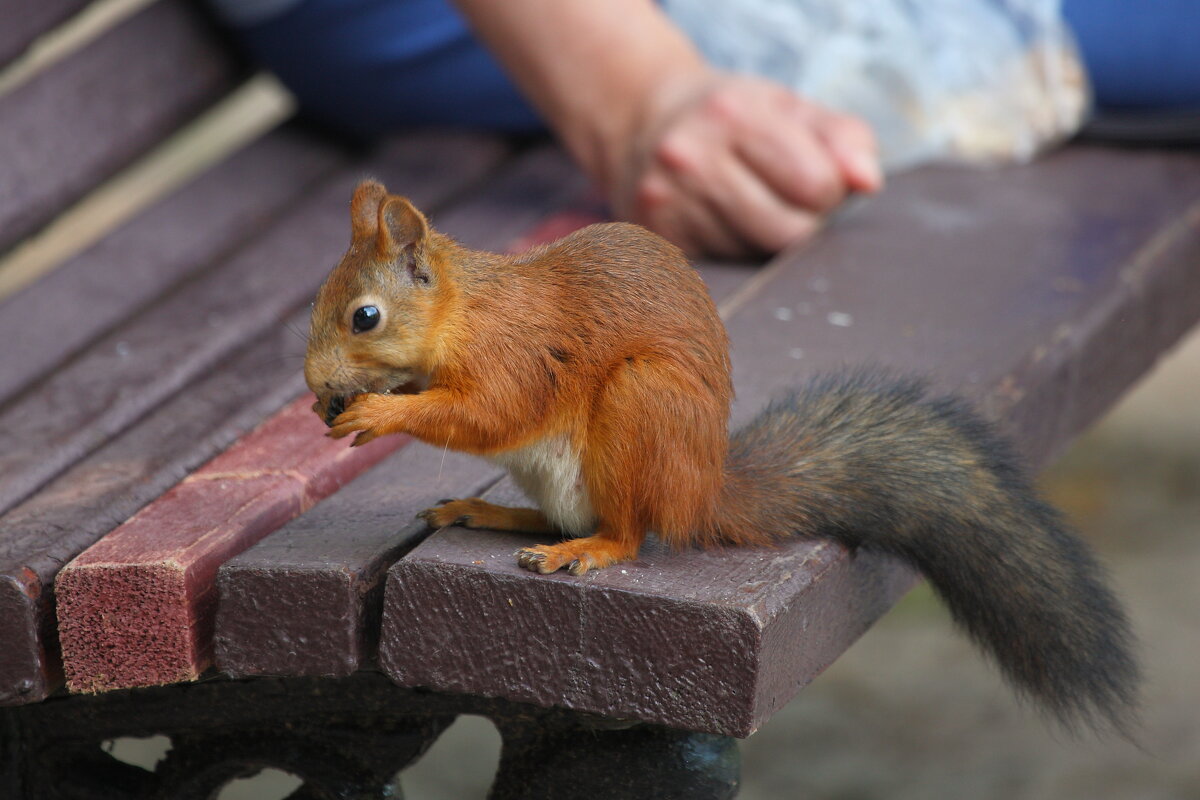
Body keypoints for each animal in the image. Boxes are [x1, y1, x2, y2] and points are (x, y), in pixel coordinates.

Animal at [304, 178, 1137, 734]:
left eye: (365, 317)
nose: (313, 384)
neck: (464, 311)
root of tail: (702, 491)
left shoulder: (519, 359)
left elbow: (487, 413)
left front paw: (380, 411)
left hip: (641, 407)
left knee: (629, 531)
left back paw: (586, 549)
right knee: (558, 516)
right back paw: (489, 511)